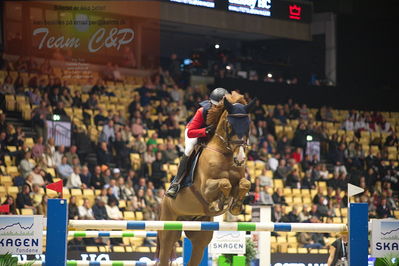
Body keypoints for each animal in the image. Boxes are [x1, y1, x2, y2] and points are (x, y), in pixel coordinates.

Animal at [158, 91, 255, 264]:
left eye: (248, 125)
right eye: (229, 125)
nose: (240, 159)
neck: (225, 154)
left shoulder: (239, 181)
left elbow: (244, 184)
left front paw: (236, 205)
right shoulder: (205, 188)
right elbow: (224, 183)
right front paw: (220, 202)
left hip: (200, 234)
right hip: (168, 229)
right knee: (164, 251)